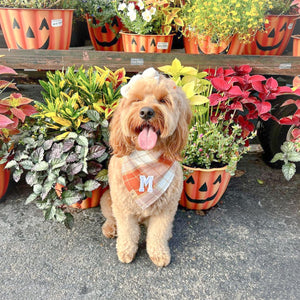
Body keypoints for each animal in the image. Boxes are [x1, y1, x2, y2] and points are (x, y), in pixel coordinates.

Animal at [99, 67, 191, 266]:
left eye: (163, 100)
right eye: (137, 100)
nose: (147, 112)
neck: (147, 158)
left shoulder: (166, 209)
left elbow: (158, 234)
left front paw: (159, 253)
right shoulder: (124, 208)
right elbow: (128, 232)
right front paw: (126, 251)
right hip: (107, 199)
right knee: (110, 217)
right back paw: (110, 228)